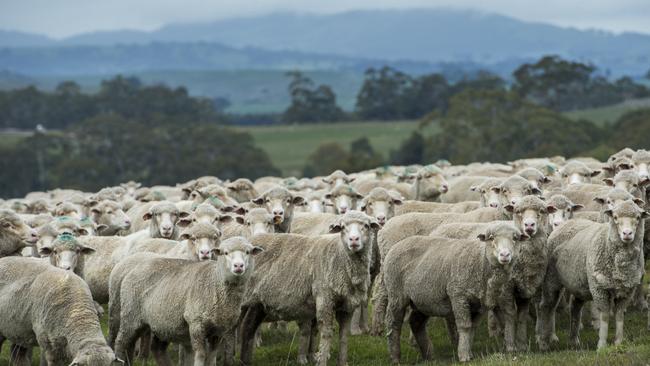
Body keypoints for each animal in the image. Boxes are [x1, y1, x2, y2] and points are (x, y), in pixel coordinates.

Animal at [111, 236, 260, 364]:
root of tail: (136, 267)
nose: (238, 266)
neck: (215, 283)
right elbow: (200, 355)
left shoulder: (218, 330)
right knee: (121, 342)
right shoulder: (196, 323)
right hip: (131, 315)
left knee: (155, 348)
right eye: (225, 253)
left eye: (248, 252)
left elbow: (211, 357)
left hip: (162, 321)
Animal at [238, 210, 380, 364]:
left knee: (245, 329)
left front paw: (341, 362)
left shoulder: (347, 306)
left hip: (257, 304)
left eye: (366, 226)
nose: (353, 240)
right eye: (342, 227)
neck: (340, 256)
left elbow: (342, 336)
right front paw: (321, 360)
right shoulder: (325, 298)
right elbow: (326, 333)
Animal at [536, 200, 644, 352]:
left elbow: (619, 316)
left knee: (575, 307)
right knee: (547, 306)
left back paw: (574, 340)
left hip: (578, 283)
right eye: (615, 217)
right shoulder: (599, 289)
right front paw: (602, 345)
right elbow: (604, 316)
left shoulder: (627, 291)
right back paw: (543, 342)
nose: (627, 233)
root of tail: (567, 223)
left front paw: (618, 343)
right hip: (551, 279)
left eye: (638, 217)